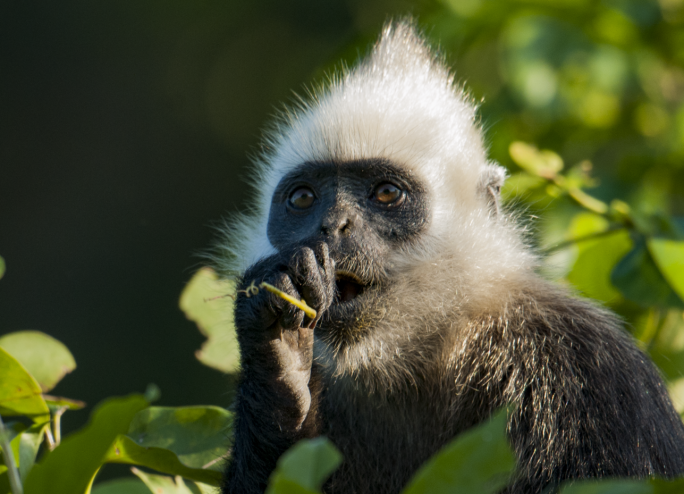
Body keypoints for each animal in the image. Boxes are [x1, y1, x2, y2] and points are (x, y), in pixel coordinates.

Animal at [216, 19, 684, 494]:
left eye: (387, 193)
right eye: (303, 199)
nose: (331, 225)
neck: (415, 359)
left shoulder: (595, 372)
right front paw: (279, 358)